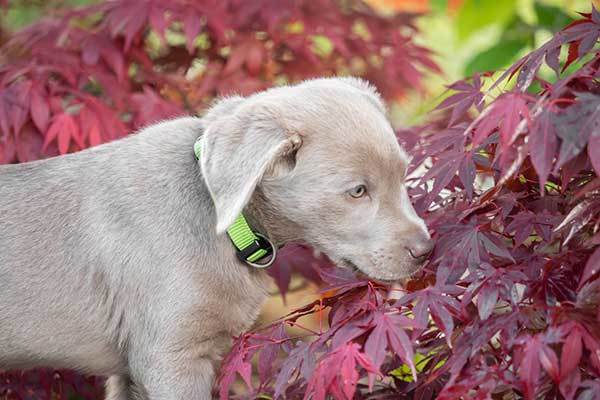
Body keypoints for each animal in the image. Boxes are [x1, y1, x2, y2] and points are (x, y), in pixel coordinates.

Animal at [0, 76, 432, 398]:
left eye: (404, 174)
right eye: (357, 191)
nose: (426, 250)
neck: (220, 213)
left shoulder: (133, 371)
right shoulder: (170, 358)